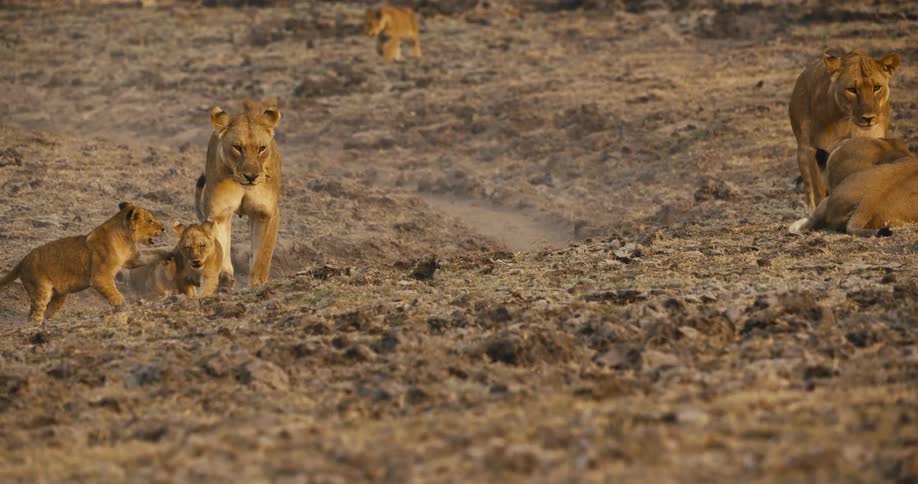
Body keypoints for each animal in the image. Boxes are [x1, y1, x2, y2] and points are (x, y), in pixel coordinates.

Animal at [0, 202, 164, 322]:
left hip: (59, 294)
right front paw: (126, 309)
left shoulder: (132, 258)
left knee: (43, 311)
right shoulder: (100, 278)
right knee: (35, 314)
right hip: (41, 288)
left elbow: (152, 254)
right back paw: (37, 326)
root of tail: (22, 261)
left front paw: (168, 253)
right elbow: (117, 297)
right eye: (150, 220)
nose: (164, 228)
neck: (126, 239)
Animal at [195, 99, 281, 289]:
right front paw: (225, 277)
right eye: (237, 148)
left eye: (261, 148)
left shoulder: (266, 213)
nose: (251, 176)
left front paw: (258, 284)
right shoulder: (218, 213)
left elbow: (263, 254)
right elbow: (221, 243)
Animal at [789, 49, 901, 209]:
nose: (868, 118)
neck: (849, 122)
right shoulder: (814, 150)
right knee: (810, 190)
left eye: (876, 88)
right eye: (852, 90)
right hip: (802, 151)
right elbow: (819, 190)